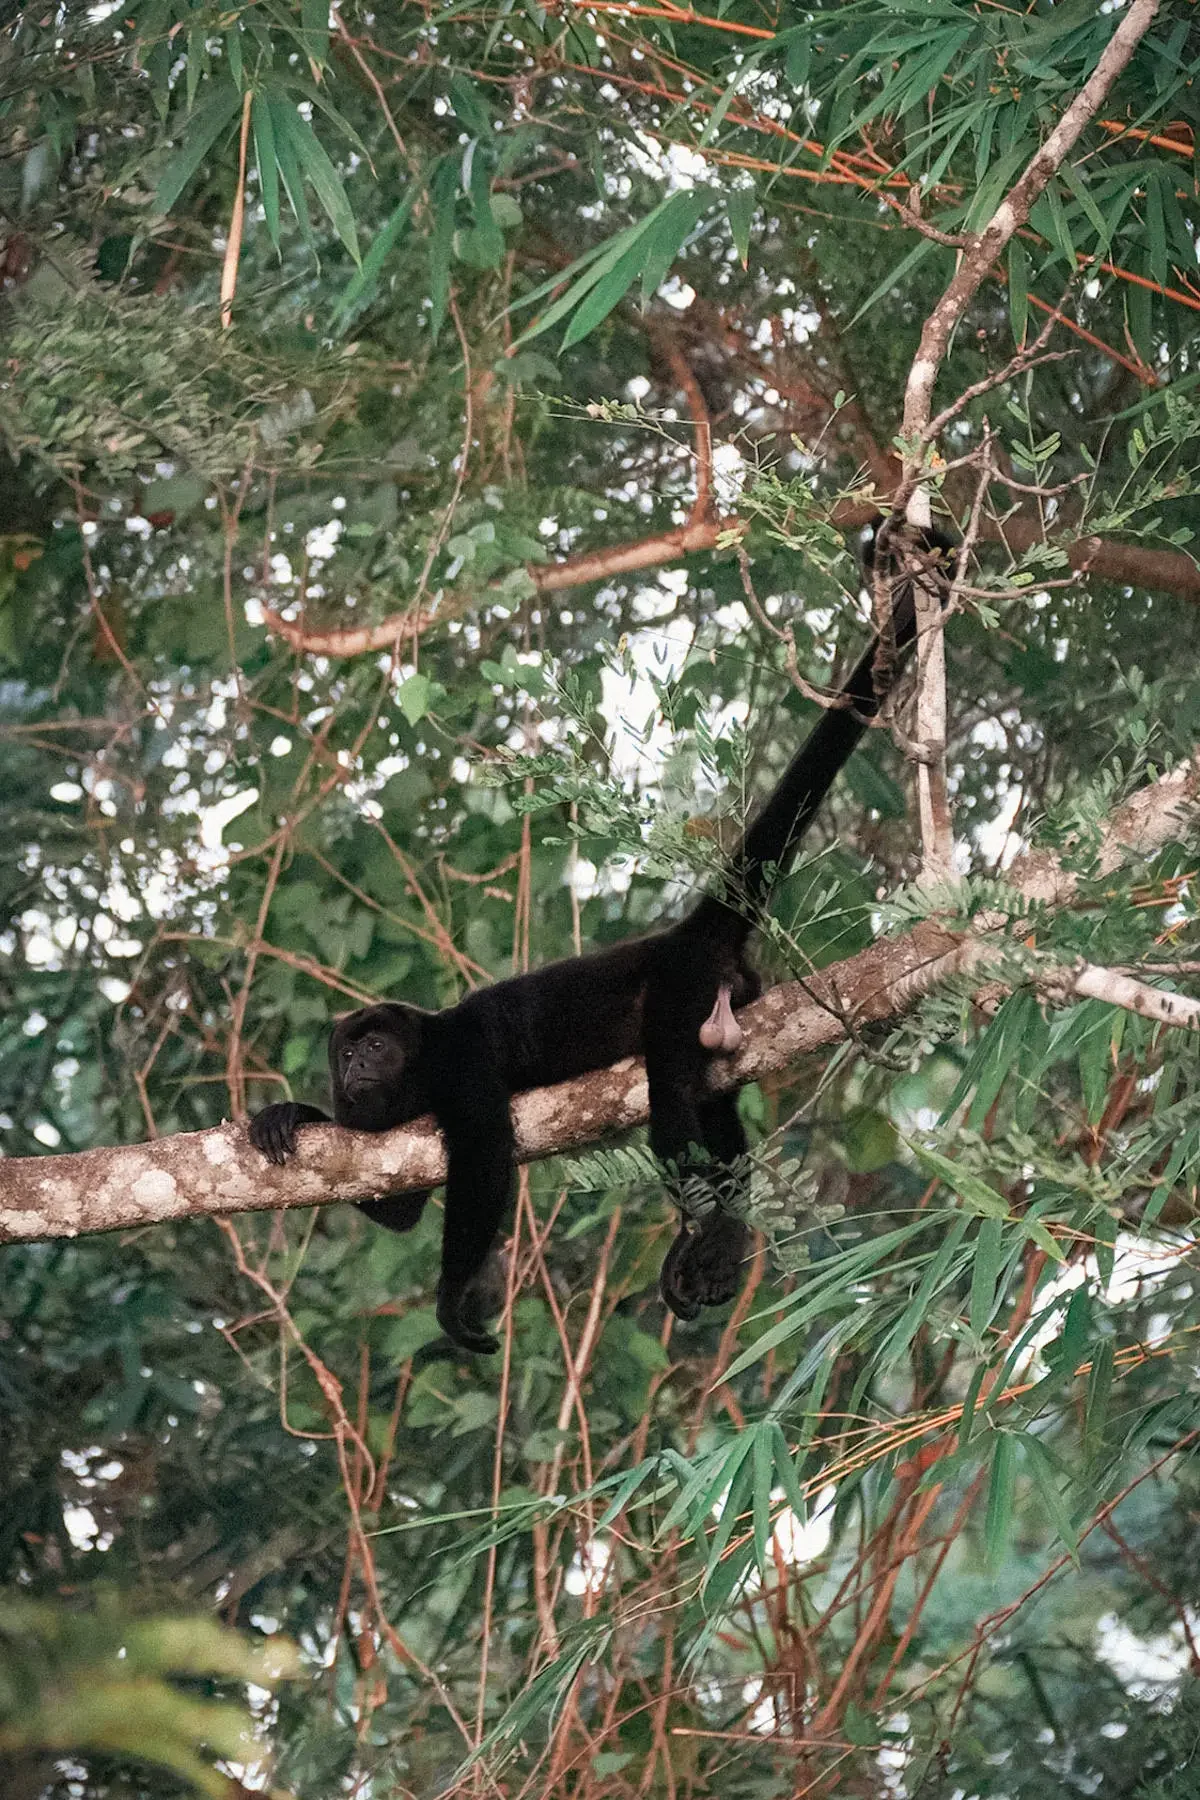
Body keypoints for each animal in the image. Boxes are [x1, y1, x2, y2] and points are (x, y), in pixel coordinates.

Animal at [250, 522, 957, 1354]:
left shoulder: (459, 1061)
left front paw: (455, 1300)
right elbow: (399, 1207)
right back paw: (726, 1232)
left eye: (379, 1046)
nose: (357, 1064)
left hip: (680, 988)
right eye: (347, 1053)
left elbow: (485, 1158)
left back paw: (714, 1233)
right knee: (715, 1112)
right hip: (731, 1003)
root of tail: (683, 935)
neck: (420, 1064)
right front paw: (292, 1115)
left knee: (674, 1116)